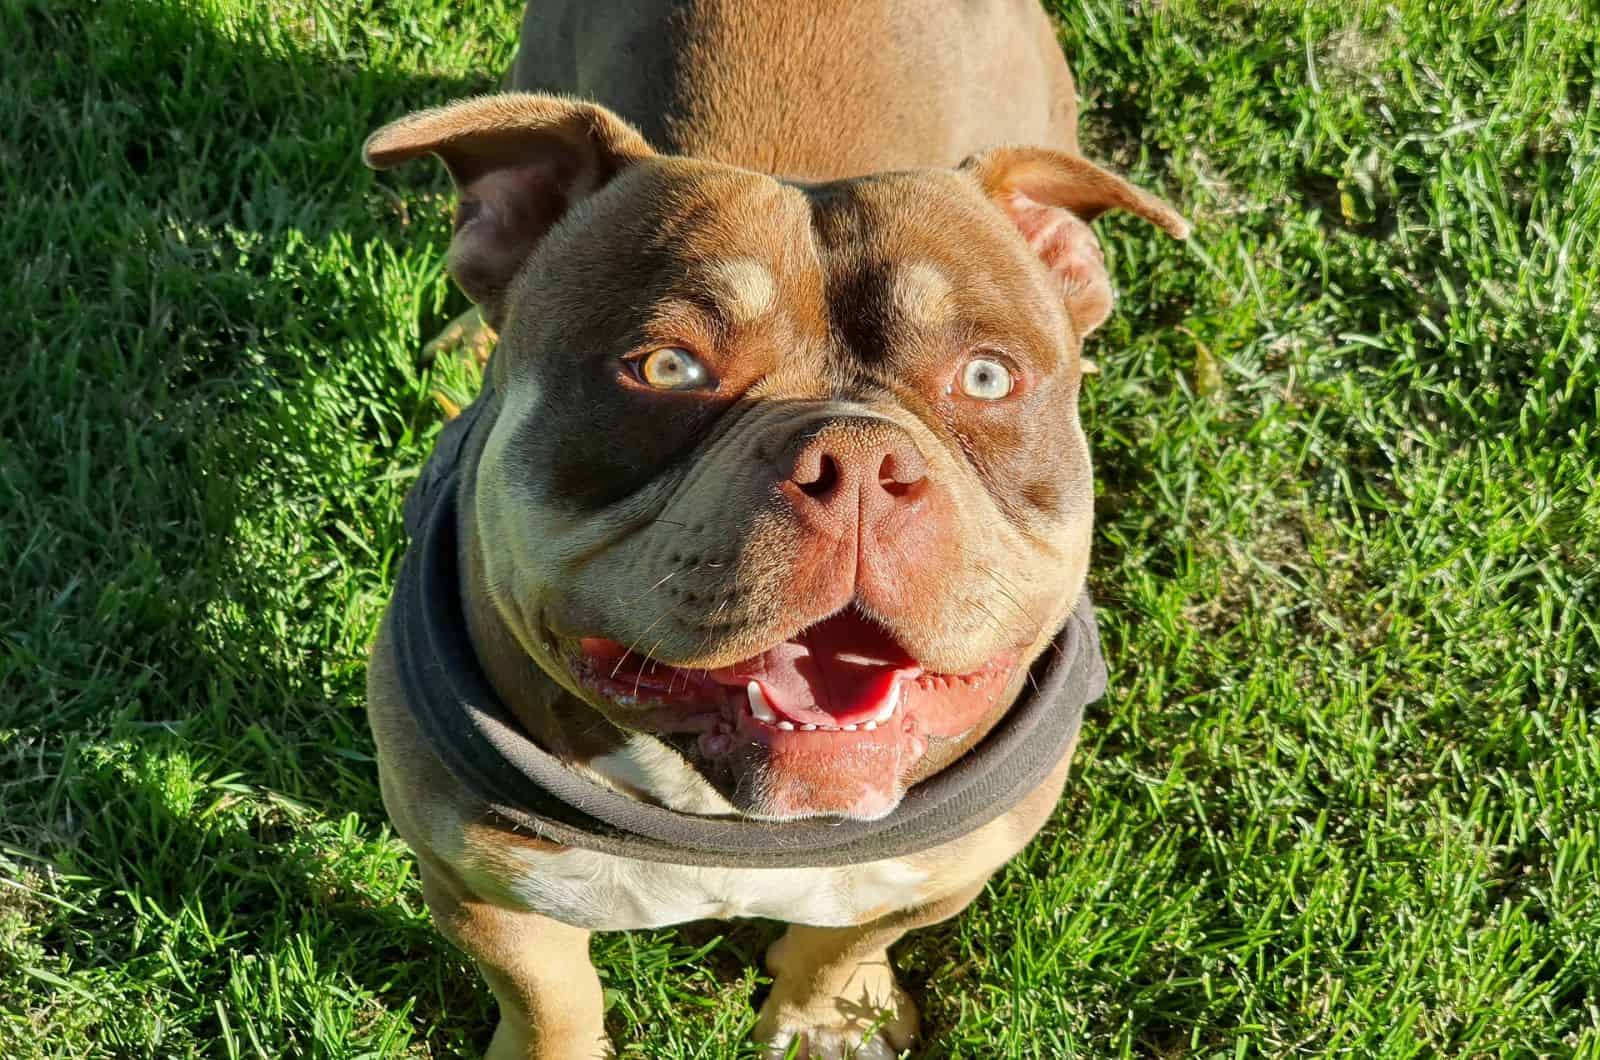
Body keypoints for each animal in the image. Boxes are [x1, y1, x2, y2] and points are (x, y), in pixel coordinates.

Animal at [366, 2, 1190, 1060]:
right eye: (666, 367)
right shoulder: (481, 887)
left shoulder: (942, 873)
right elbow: (549, 997)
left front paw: (826, 1020)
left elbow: (844, 943)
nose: (859, 461)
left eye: (986, 378)